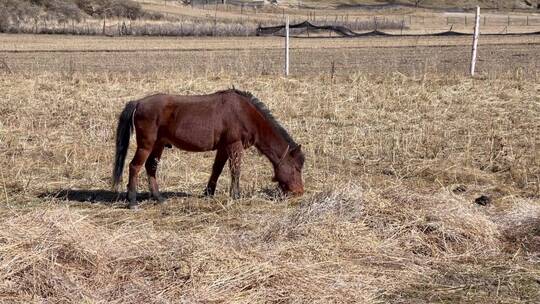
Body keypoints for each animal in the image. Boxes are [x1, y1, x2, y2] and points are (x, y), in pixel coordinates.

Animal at [110, 89, 304, 208]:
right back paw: (132, 201)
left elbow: (217, 169)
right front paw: (236, 195)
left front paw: (209, 193)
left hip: (158, 145)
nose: (299, 192)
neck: (244, 113)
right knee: (134, 167)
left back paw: (158, 198)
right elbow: (235, 170)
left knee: (151, 167)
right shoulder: (234, 145)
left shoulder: (223, 148)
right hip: (146, 145)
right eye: (296, 168)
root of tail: (138, 102)